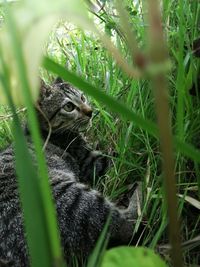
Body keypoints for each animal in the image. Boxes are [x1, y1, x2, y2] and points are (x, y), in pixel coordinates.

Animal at [0, 78, 137, 266]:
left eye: (82, 97)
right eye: (69, 107)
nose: (90, 112)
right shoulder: (91, 161)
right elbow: (119, 157)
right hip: (78, 201)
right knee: (126, 224)